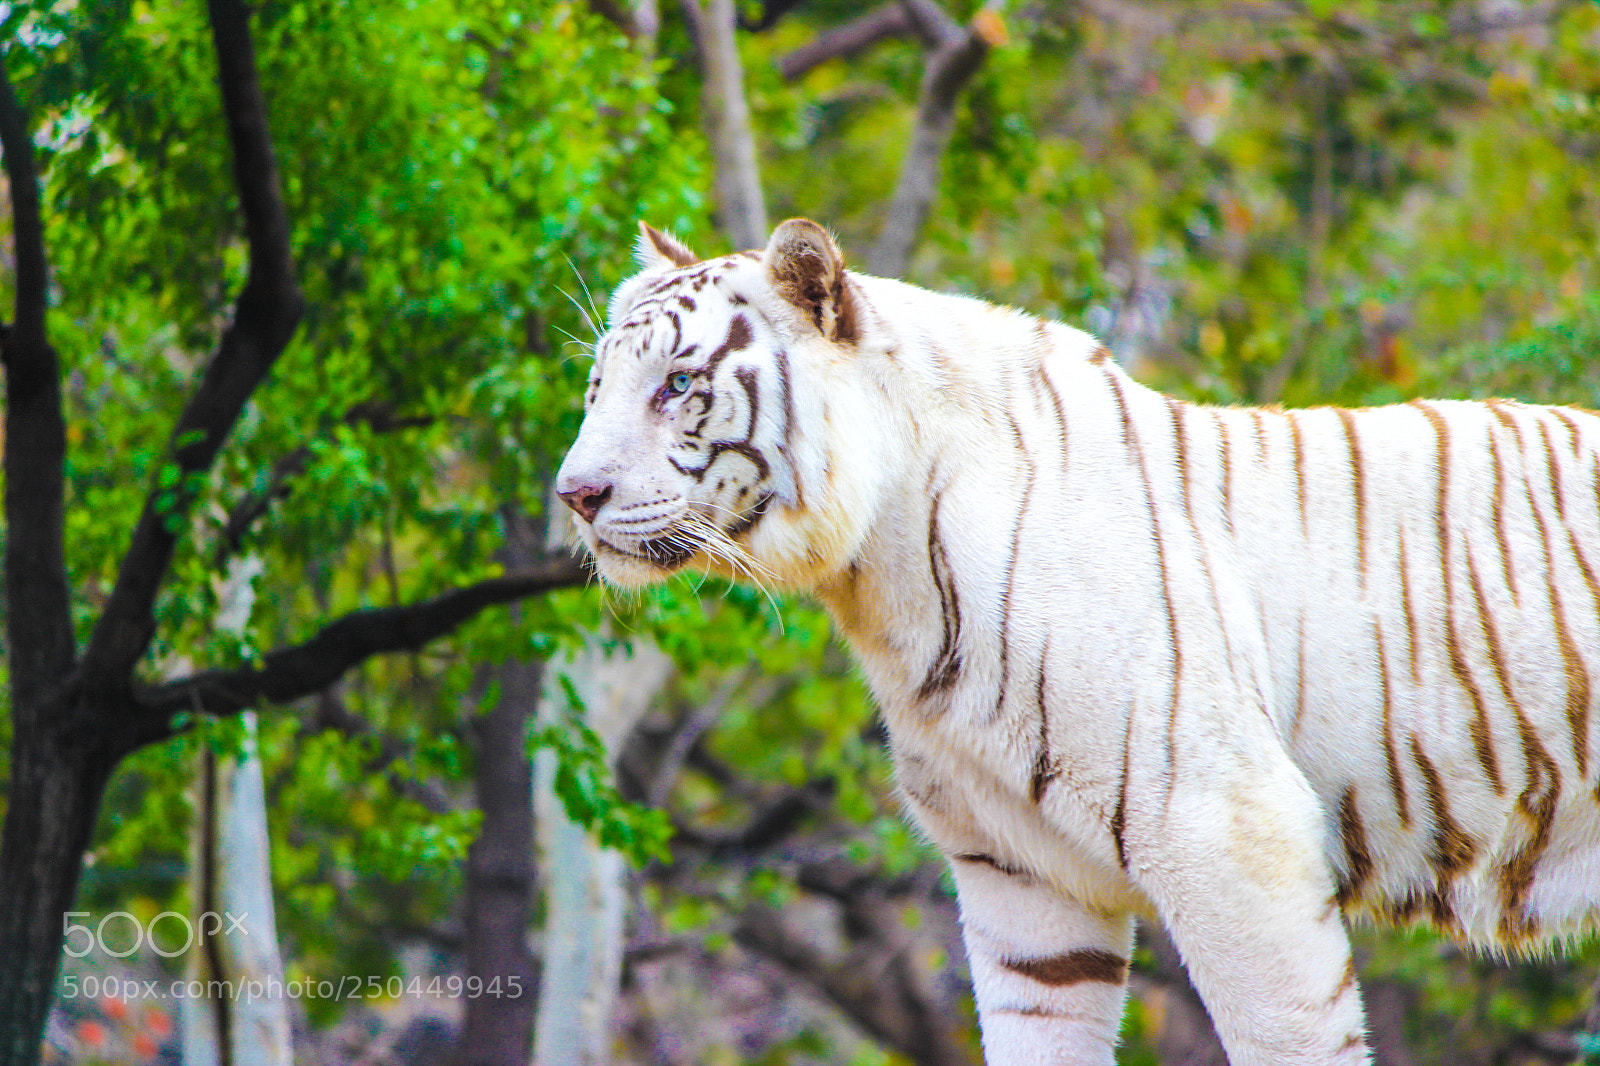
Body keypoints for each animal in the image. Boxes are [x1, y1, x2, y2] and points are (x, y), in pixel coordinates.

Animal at [555, 217, 1600, 1065]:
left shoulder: (1229, 831)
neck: (884, 584)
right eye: (598, 387)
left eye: (678, 386)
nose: (573, 493)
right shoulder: (1022, 881)